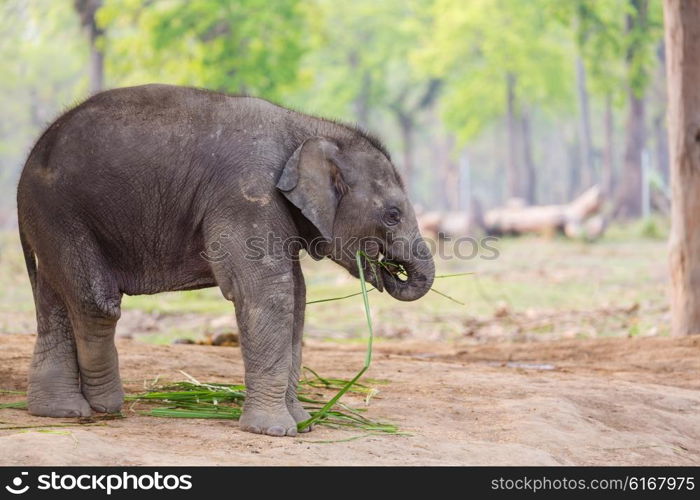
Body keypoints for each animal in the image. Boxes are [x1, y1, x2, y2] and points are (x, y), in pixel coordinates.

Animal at [17, 84, 432, 436]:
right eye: (392, 214)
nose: (389, 269)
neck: (308, 127)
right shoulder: (245, 192)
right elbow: (269, 293)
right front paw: (276, 431)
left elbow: (297, 296)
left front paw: (303, 423)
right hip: (61, 211)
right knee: (94, 301)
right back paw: (105, 405)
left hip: (53, 219)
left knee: (57, 298)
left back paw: (61, 411)